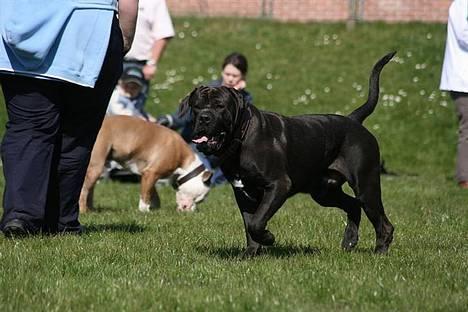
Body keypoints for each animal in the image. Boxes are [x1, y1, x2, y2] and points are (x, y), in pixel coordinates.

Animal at [80, 116, 212, 213]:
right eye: (198, 198)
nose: (191, 210)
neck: (184, 161)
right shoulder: (151, 173)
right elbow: (145, 195)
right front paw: (144, 211)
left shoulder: (148, 175)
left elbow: (152, 194)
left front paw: (154, 209)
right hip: (96, 167)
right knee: (84, 190)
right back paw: (83, 211)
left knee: (90, 189)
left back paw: (91, 209)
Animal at [179, 50, 394, 256]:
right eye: (196, 106)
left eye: (220, 106)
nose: (204, 117)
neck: (242, 136)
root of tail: (353, 120)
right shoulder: (243, 192)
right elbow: (249, 224)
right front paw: (250, 253)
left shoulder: (278, 185)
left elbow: (257, 222)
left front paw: (268, 238)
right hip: (324, 191)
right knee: (353, 206)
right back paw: (350, 240)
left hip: (366, 186)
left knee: (382, 222)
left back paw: (379, 252)